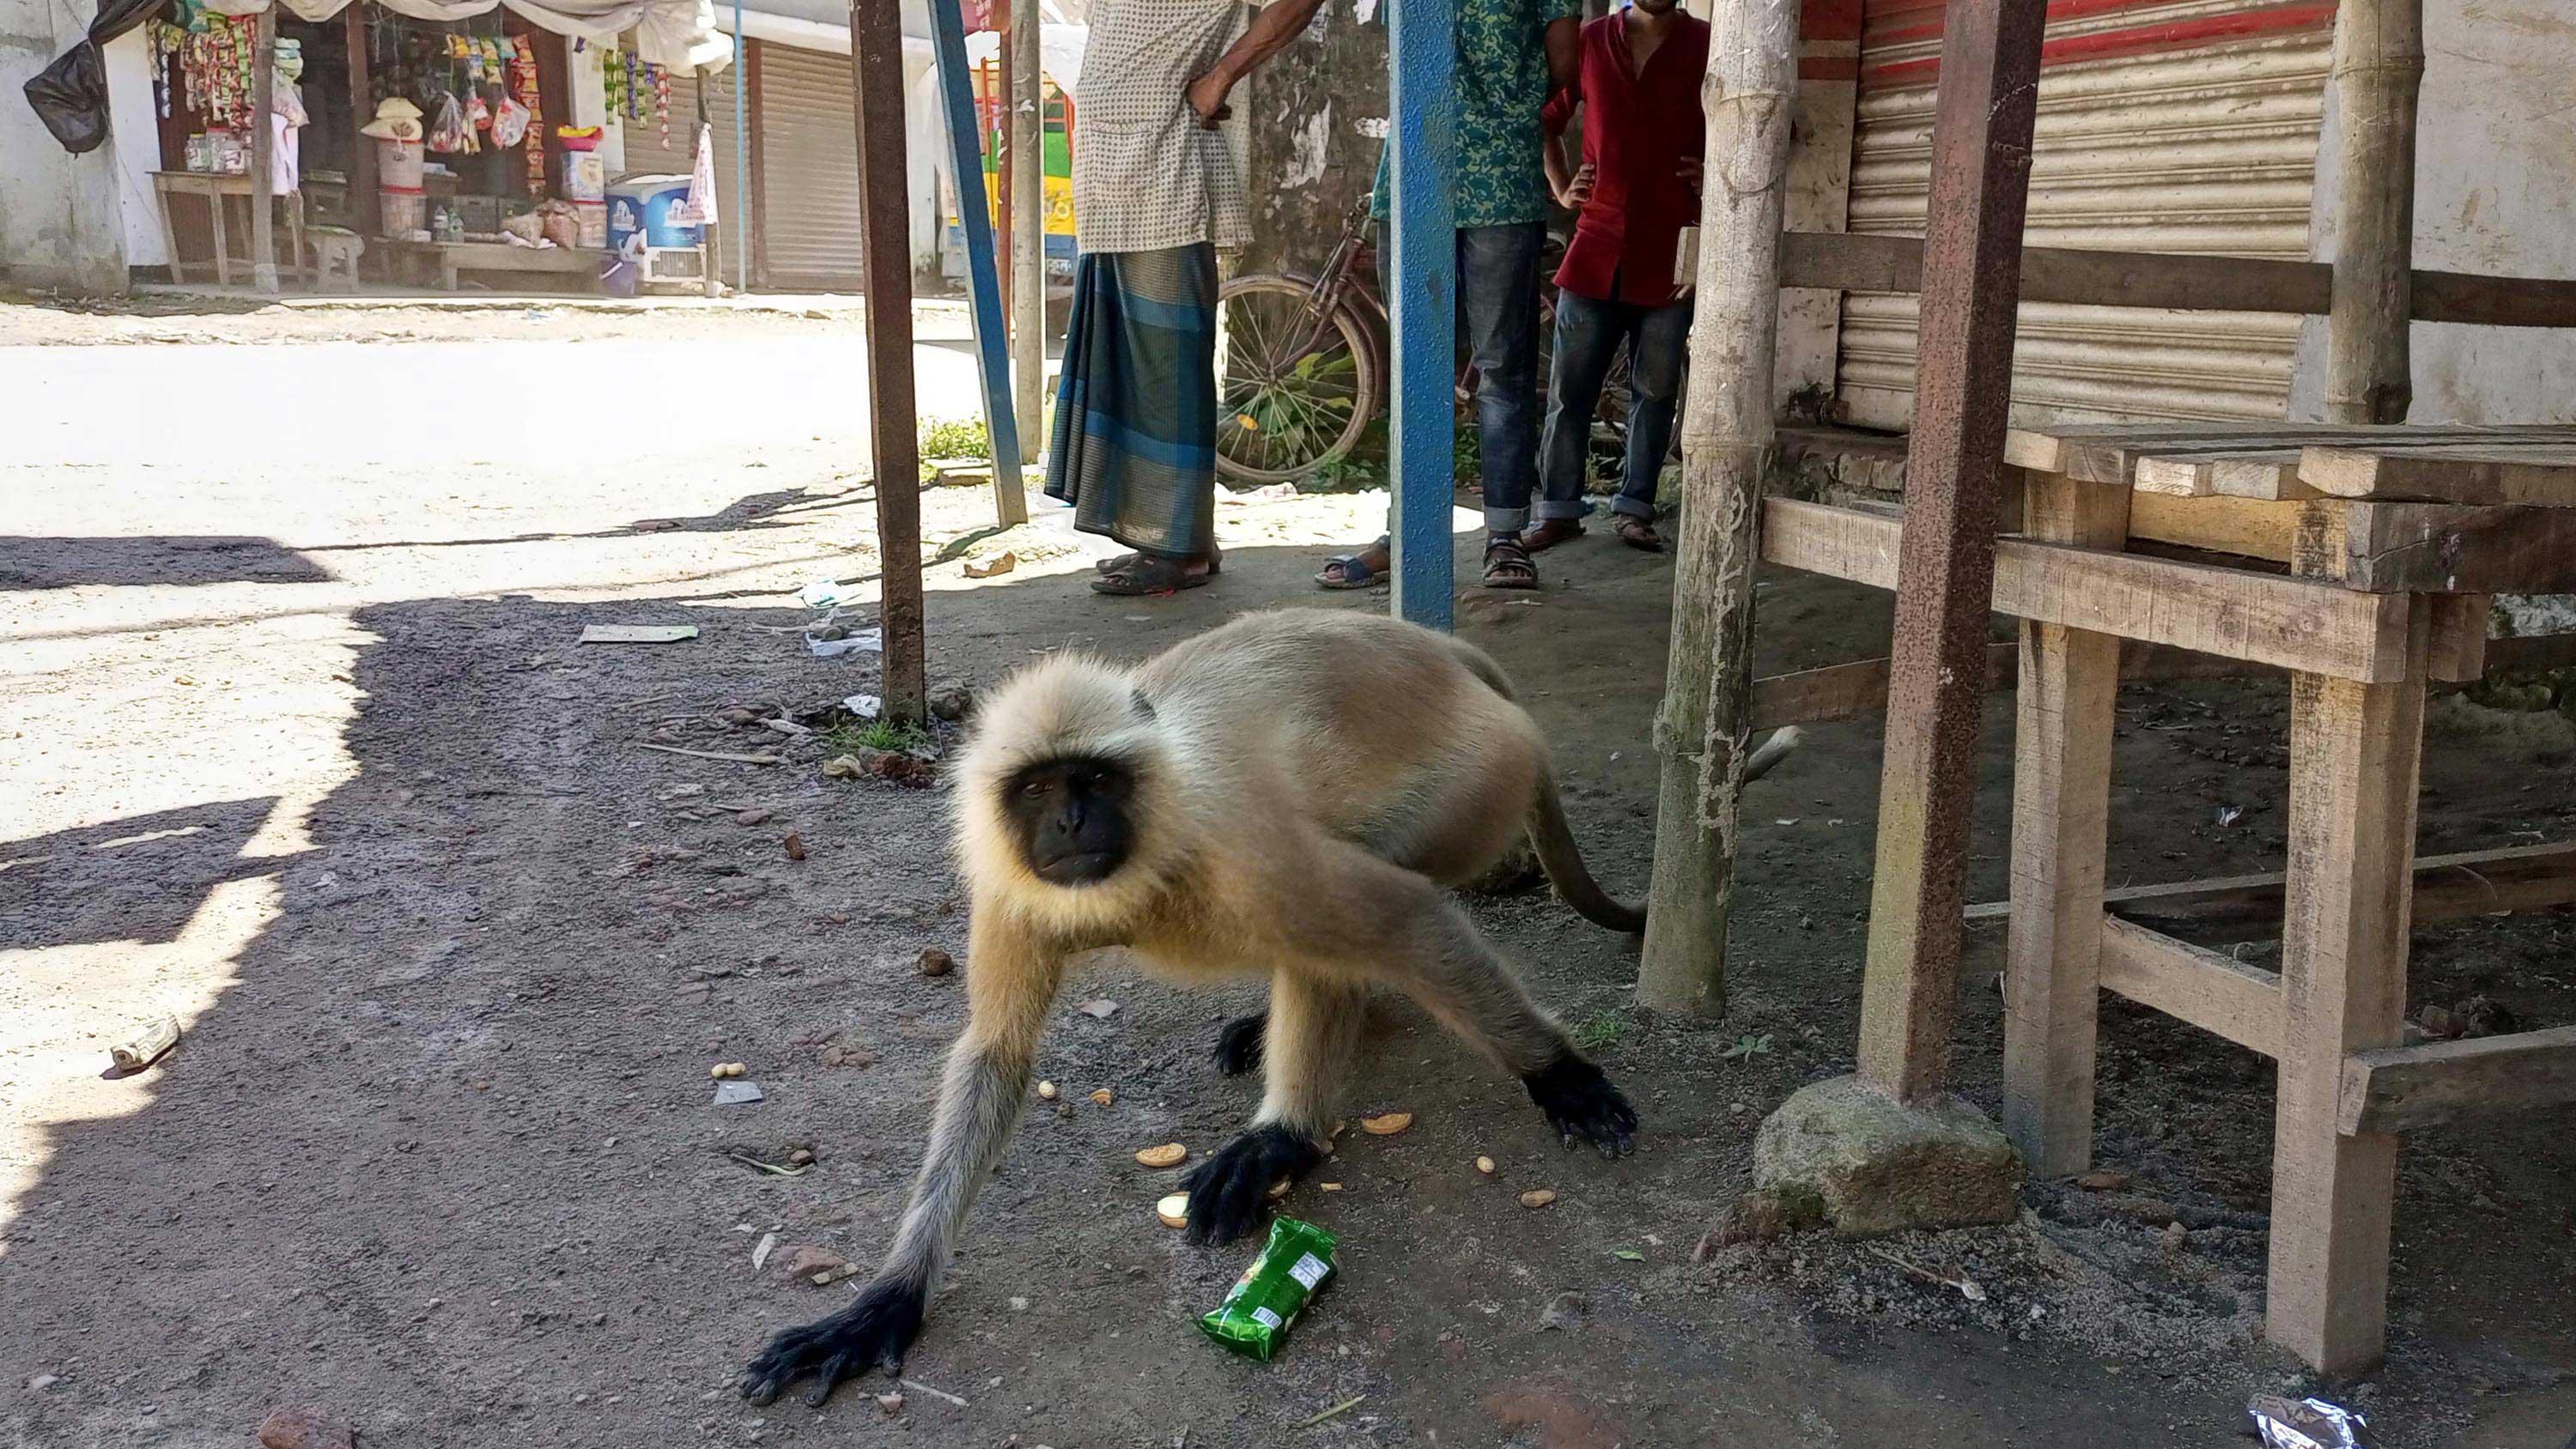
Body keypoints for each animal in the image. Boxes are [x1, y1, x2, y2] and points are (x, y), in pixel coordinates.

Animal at [737, 609, 1762, 1410]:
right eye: (1036, 789)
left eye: (1094, 781)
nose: (1070, 823)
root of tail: (1449, 655)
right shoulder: (1012, 884)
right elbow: (996, 1054)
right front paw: (884, 1301)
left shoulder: (1238, 845)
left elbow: (1401, 916)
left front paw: (1564, 1076)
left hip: (1475, 784)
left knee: (1352, 927)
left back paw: (1285, 1138)